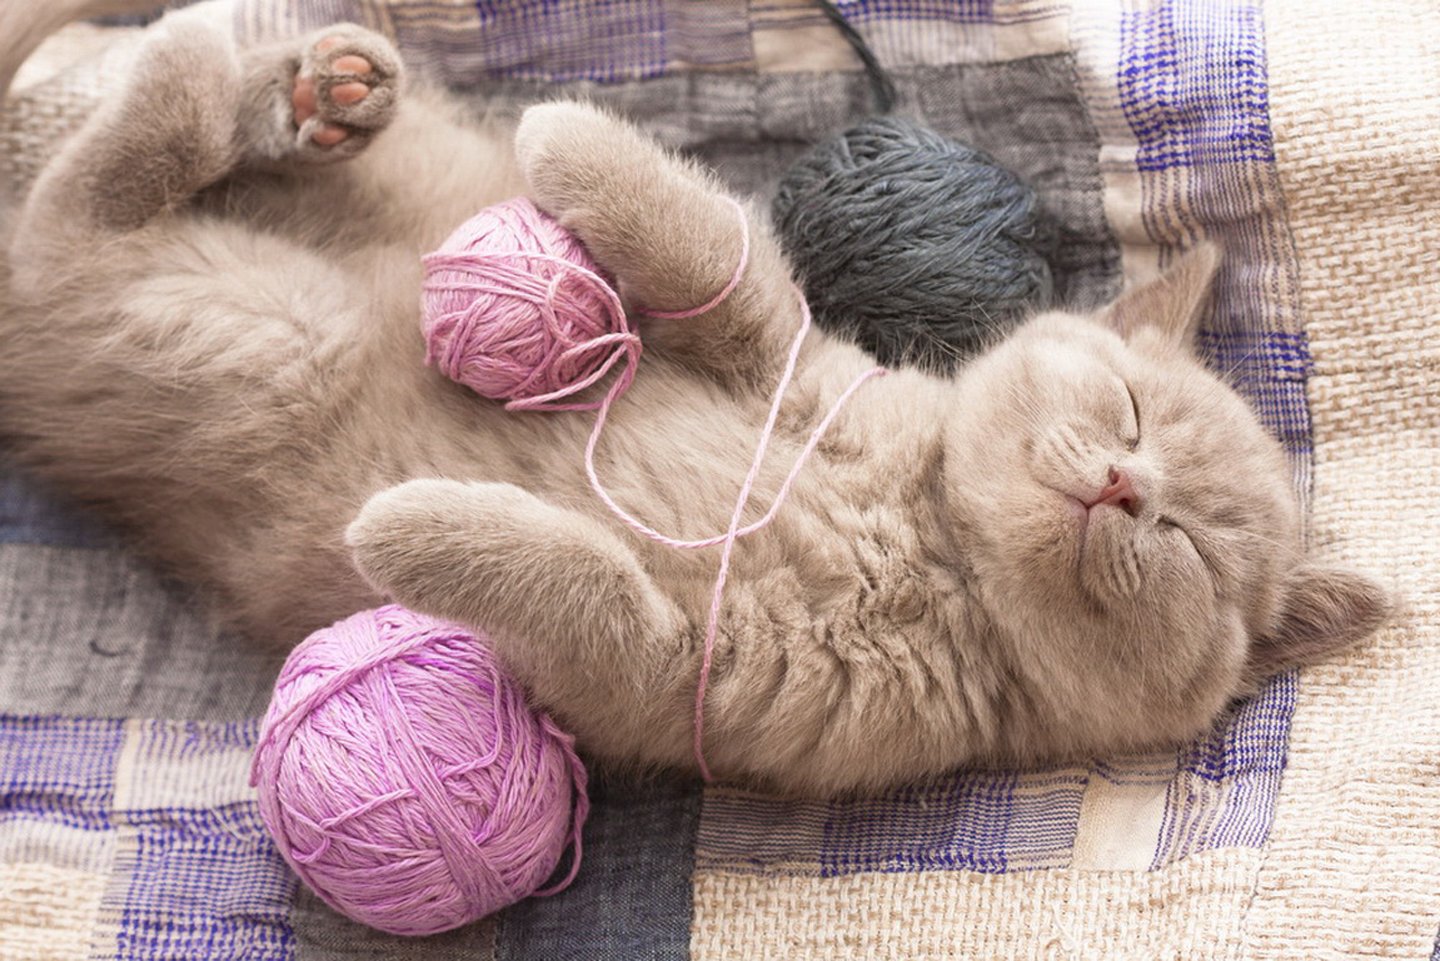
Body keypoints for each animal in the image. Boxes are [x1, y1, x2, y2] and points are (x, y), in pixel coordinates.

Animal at [2, 1, 1393, 795]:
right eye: (1128, 413)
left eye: (1192, 548)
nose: (1123, 484)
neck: (933, 539)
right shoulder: (801, 367)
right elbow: (720, 265)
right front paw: (571, 140)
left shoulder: (690, 683)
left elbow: (589, 592)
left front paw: (412, 527)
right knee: (136, 181)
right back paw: (306, 88)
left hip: (203, 326)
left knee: (77, 210)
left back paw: (198, 74)